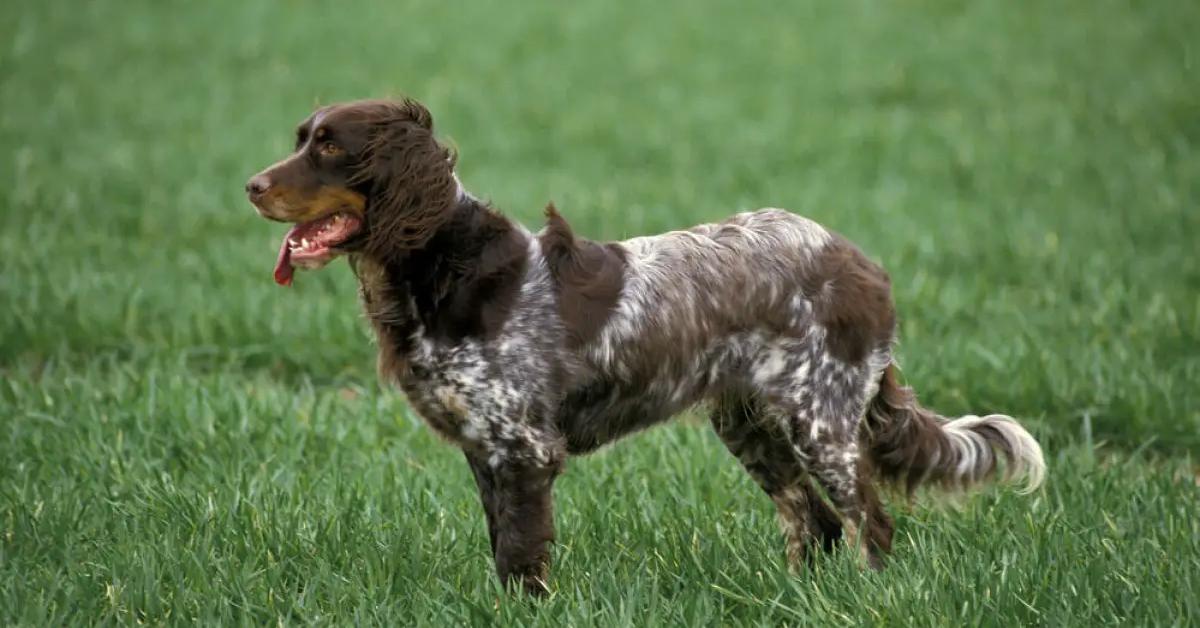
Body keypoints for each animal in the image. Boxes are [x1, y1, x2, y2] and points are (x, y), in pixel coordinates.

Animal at [248, 97, 1046, 595]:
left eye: (330, 146)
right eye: (298, 138)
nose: (252, 185)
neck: (440, 266)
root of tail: (860, 262)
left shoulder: (524, 449)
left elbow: (521, 555)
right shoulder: (486, 448)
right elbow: (503, 551)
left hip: (822, 422)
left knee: (869, 525)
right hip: (749, 425)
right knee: (815, 524)